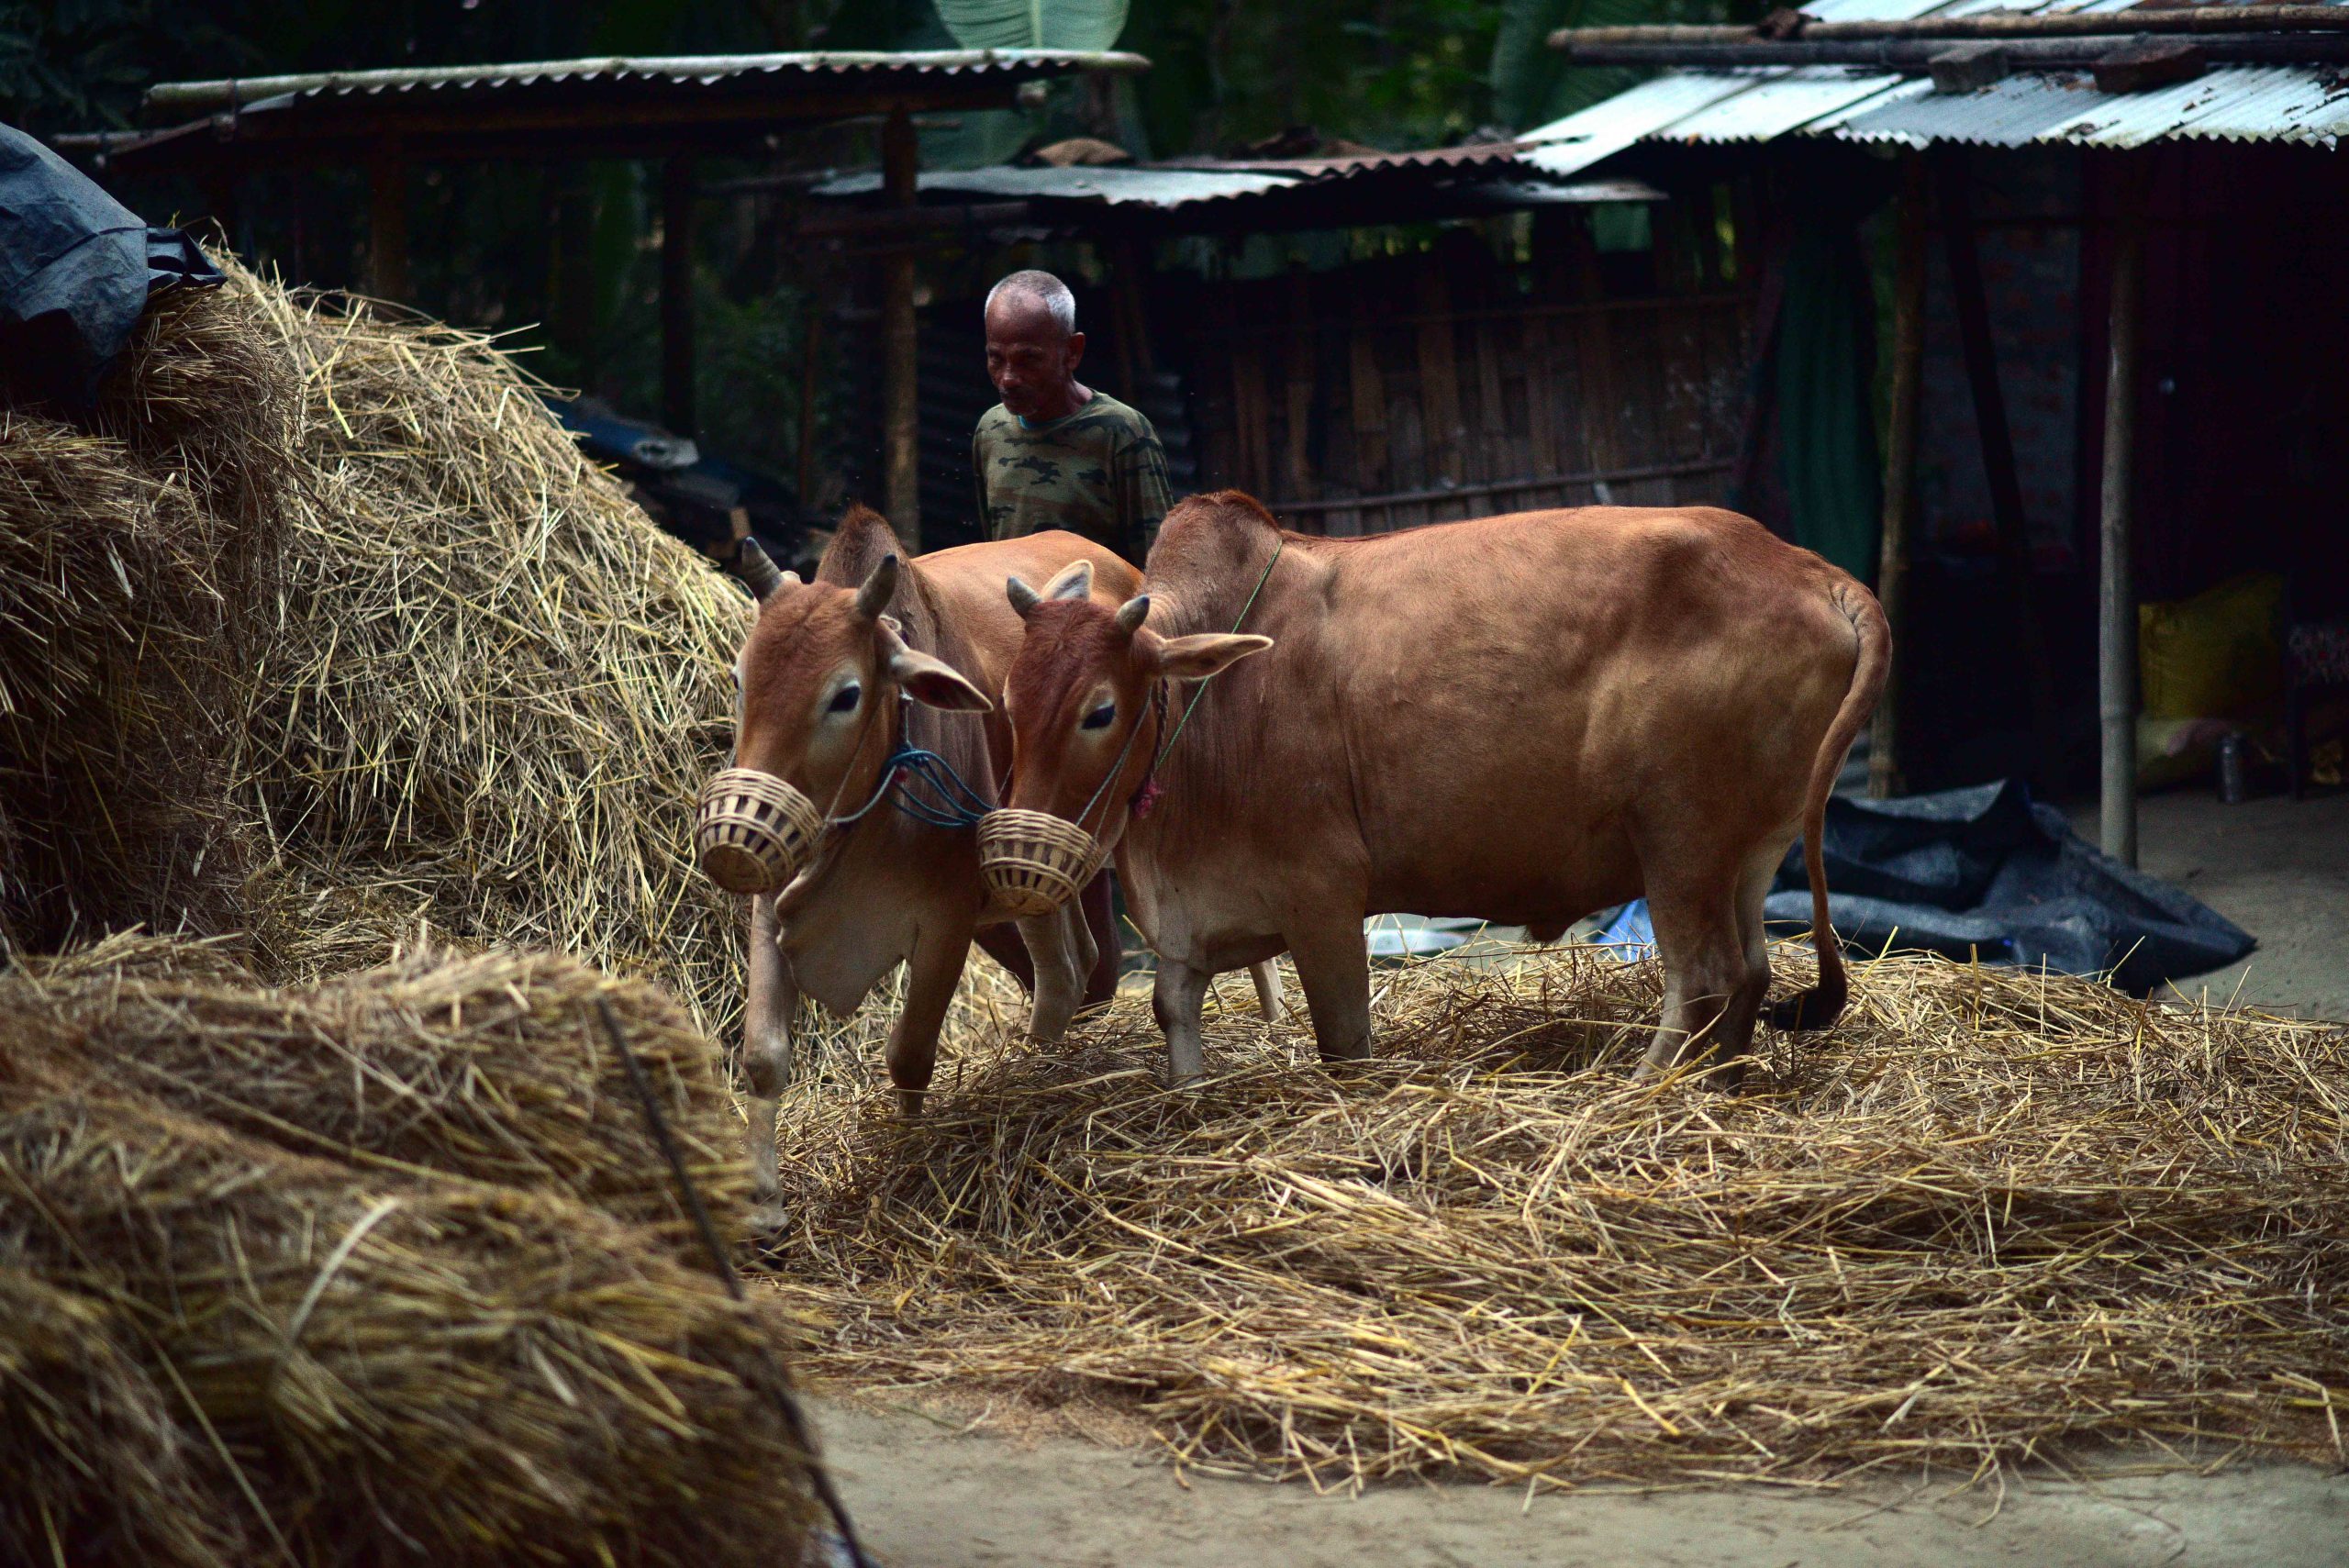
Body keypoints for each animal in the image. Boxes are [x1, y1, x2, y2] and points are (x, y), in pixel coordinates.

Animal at [991, 495, 1888, 1084]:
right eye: (1006, 700)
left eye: (1100, 709)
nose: (1021, 850)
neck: (1211, 705)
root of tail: (1810, 568)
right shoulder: (1186, 939)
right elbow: (1176, 1032)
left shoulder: (1324, 898)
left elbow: (1344, 1042)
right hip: (1747, 849)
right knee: (1752, 976)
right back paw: (1712, 1085)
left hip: (1678, 840)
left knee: (1703, 977)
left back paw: (1637, 1091)